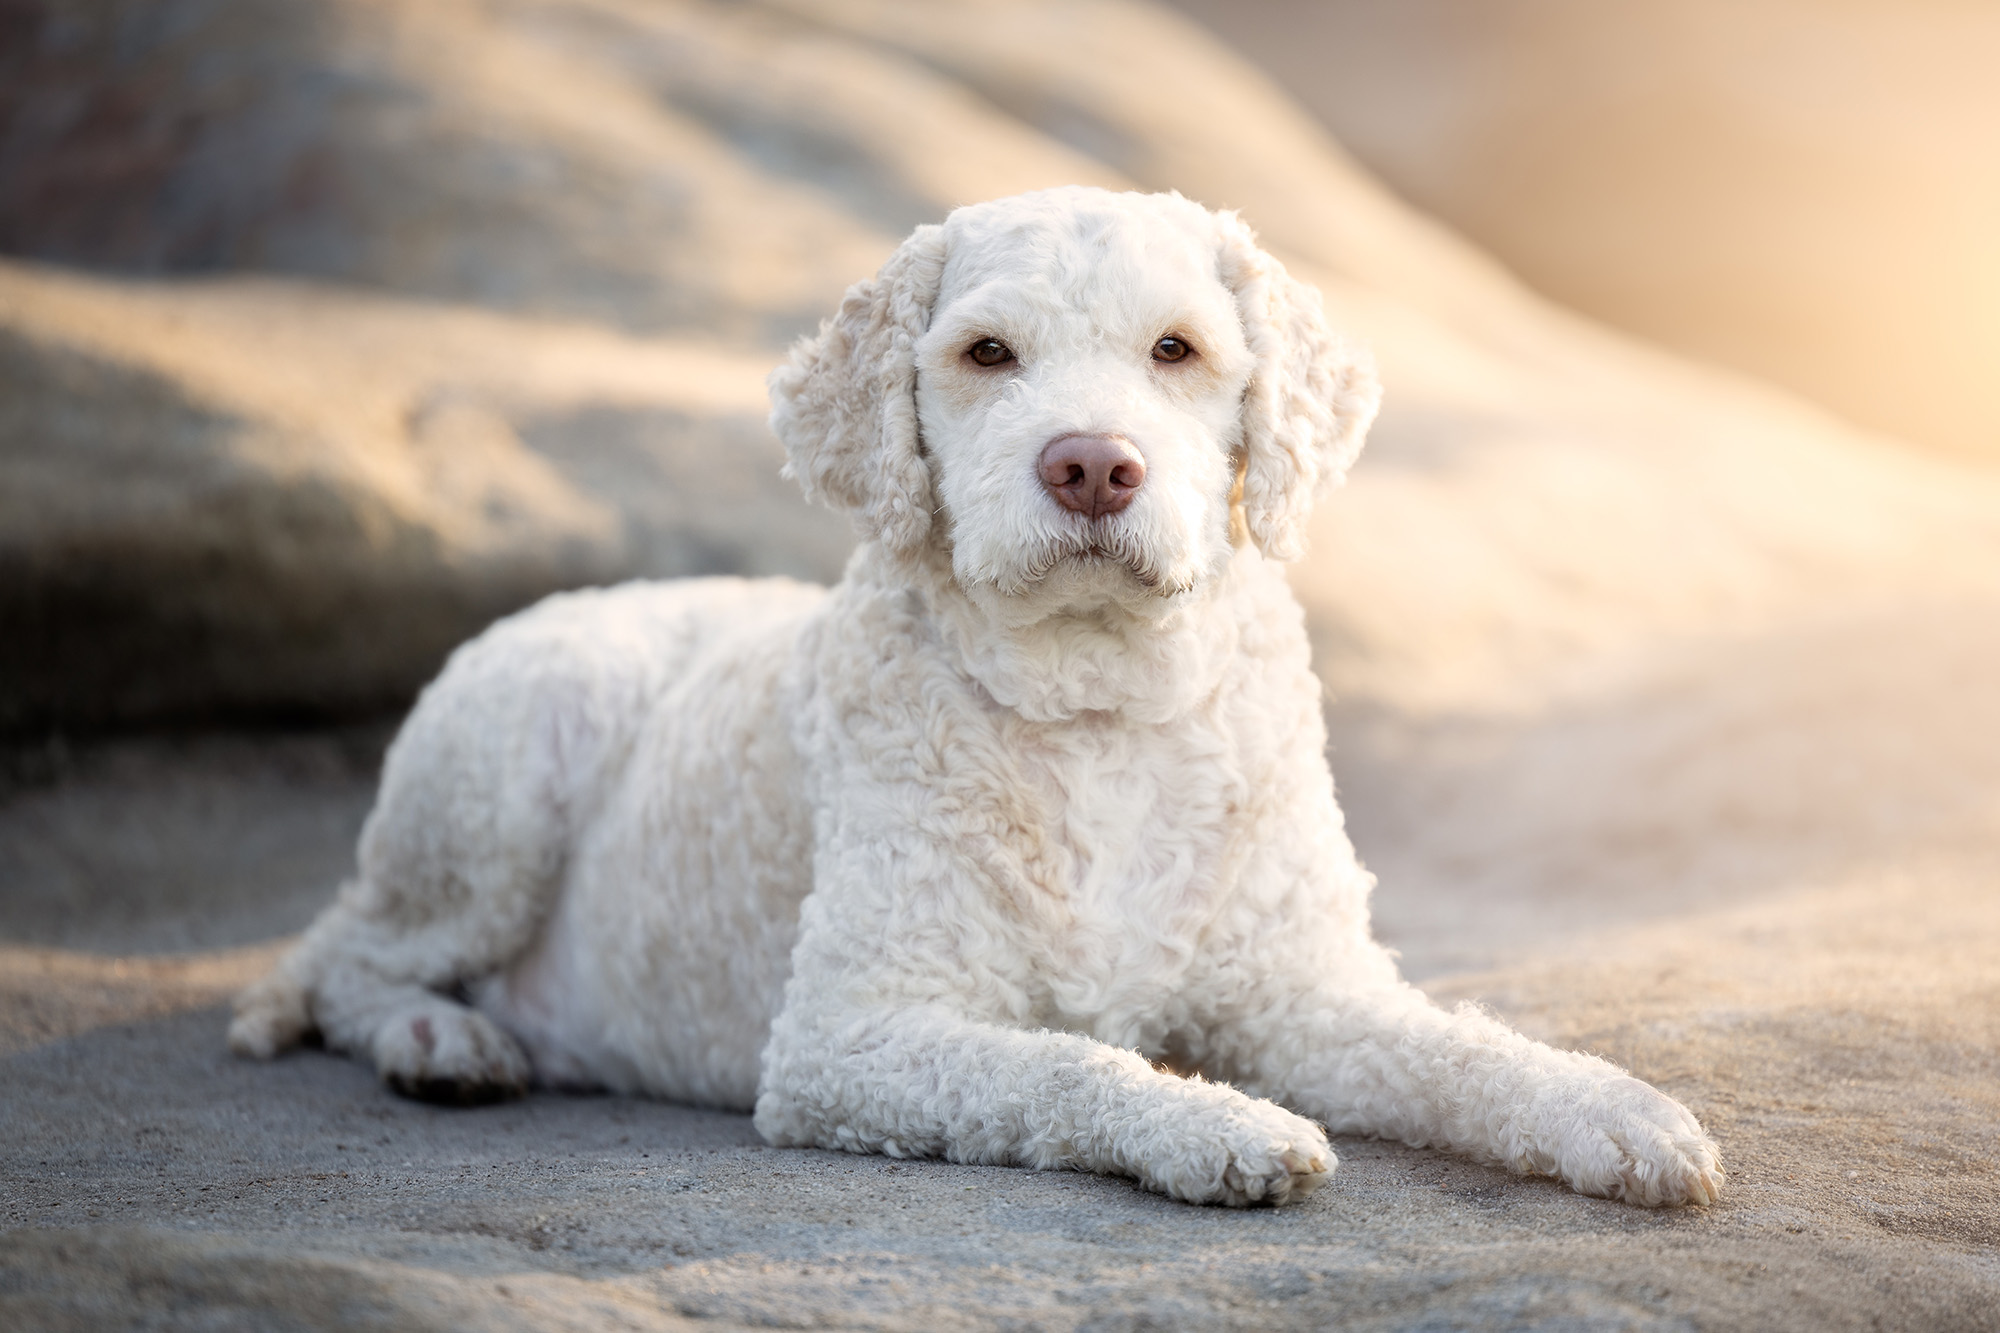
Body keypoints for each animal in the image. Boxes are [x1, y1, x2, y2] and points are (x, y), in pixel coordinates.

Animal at [230, 184, 1720, 1200]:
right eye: (988, 353)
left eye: (1177, 350)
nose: (1092, 466)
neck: (1100, 710)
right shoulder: (851, 1038)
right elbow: (1063, 1063)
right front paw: (1215, 1124)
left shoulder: (1300, 990)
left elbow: (1459, 1049)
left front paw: (1615, 1112)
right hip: (499, 779)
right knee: (341, 953)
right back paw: (438, 1036)